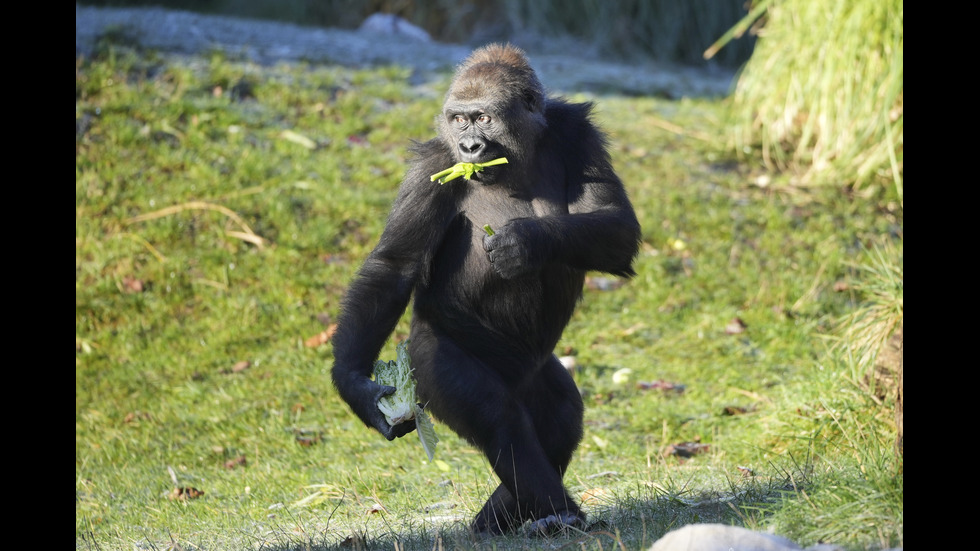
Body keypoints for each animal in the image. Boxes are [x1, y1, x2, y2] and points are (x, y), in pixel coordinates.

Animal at [330, 44, 644, 540]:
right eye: (458, 120)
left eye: (482, 118)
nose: (470, 148)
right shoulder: (431, 166)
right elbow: (394, 267)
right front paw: (355, 386)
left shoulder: (579, 133)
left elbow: (616, 224)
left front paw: (527, 241)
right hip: (429, 356)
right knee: (499, 414)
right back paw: (555, 511)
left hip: (529, 374)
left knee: (559, 421)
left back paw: (504, 515)